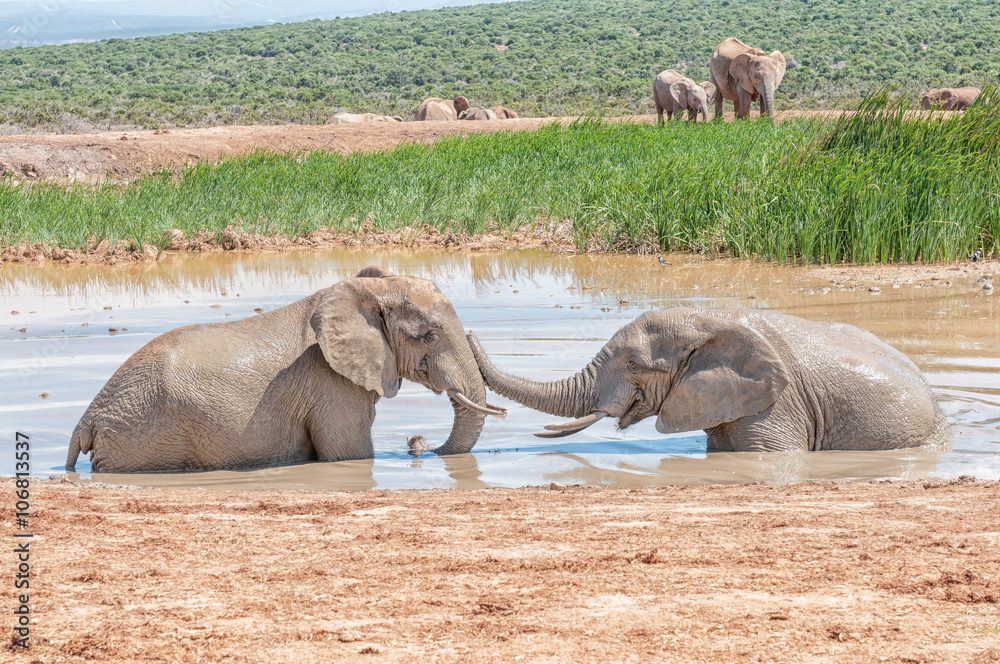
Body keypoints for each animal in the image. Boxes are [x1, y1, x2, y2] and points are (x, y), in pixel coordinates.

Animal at [66, 266, 506, 473]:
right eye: (430, 336)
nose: (418, 444)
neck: (365, 293)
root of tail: (89, 419)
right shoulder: (329, 383)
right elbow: (349, 455)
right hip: (143, 438)